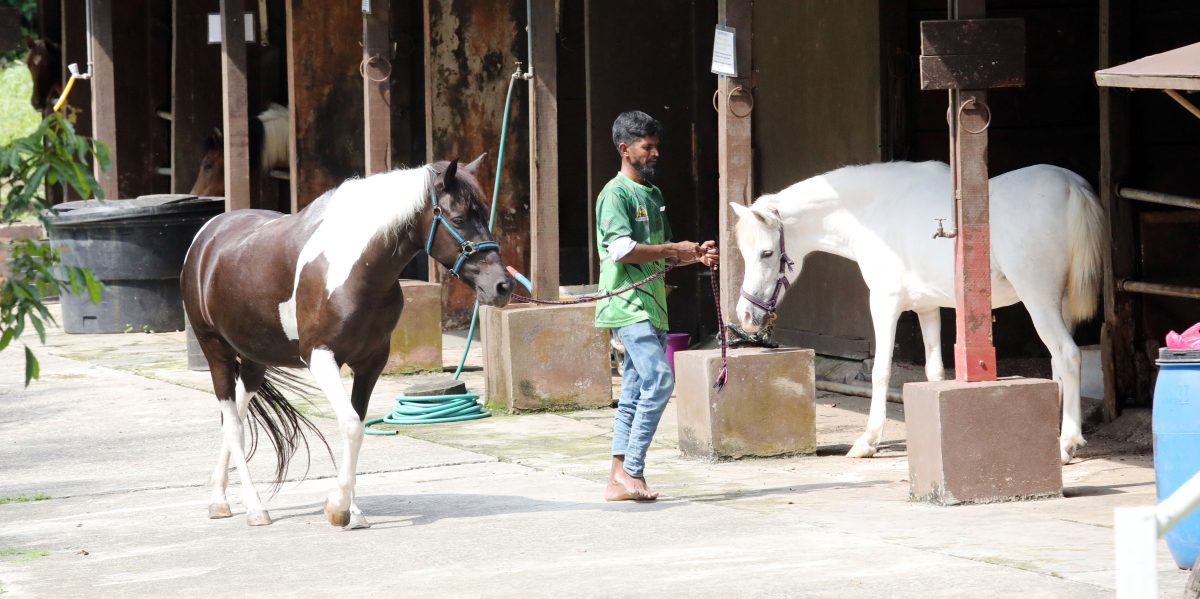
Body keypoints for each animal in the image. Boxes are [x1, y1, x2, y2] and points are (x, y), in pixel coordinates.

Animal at [181, 156, 511, 530]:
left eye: (484, 215)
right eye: (458, 219)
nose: (501, 286)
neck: (356, 269)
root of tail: (207, 236)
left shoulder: (370, 363)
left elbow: (358, 425)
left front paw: (353, 510)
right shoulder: (320, 357)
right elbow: (351, 425)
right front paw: (337, 508)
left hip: (254, 360)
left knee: (234, 415)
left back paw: (219, 498)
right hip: (216, 351)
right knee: (235, 426)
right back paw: (252, 507)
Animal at [724, 162, 1099, 465]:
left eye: (766, 253)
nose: (746, 316)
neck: (876, 210)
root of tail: (1070, 186)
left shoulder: (884, 303)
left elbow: (881, 371)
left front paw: (868, 441)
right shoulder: (927, 307)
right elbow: (935, 372)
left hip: (1039, 300)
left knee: (1068, 356)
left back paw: (1066, 444)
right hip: (1058, 304)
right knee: (1057, 363)